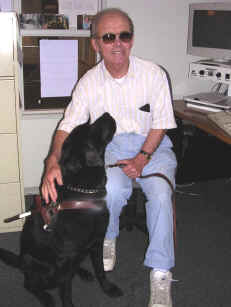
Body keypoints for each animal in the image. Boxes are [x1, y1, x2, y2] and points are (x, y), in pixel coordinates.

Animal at [0, 113, 122, 307]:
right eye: (91, 128)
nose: (106, 114)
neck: (83, 192)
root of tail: (20, 259)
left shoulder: (97, 242)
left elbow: (100, 270)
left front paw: (108, 288)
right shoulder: (65, 258)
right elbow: (66, 291)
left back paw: (83, 272)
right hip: (40, 266)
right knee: (30, 284)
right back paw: (46, 298)